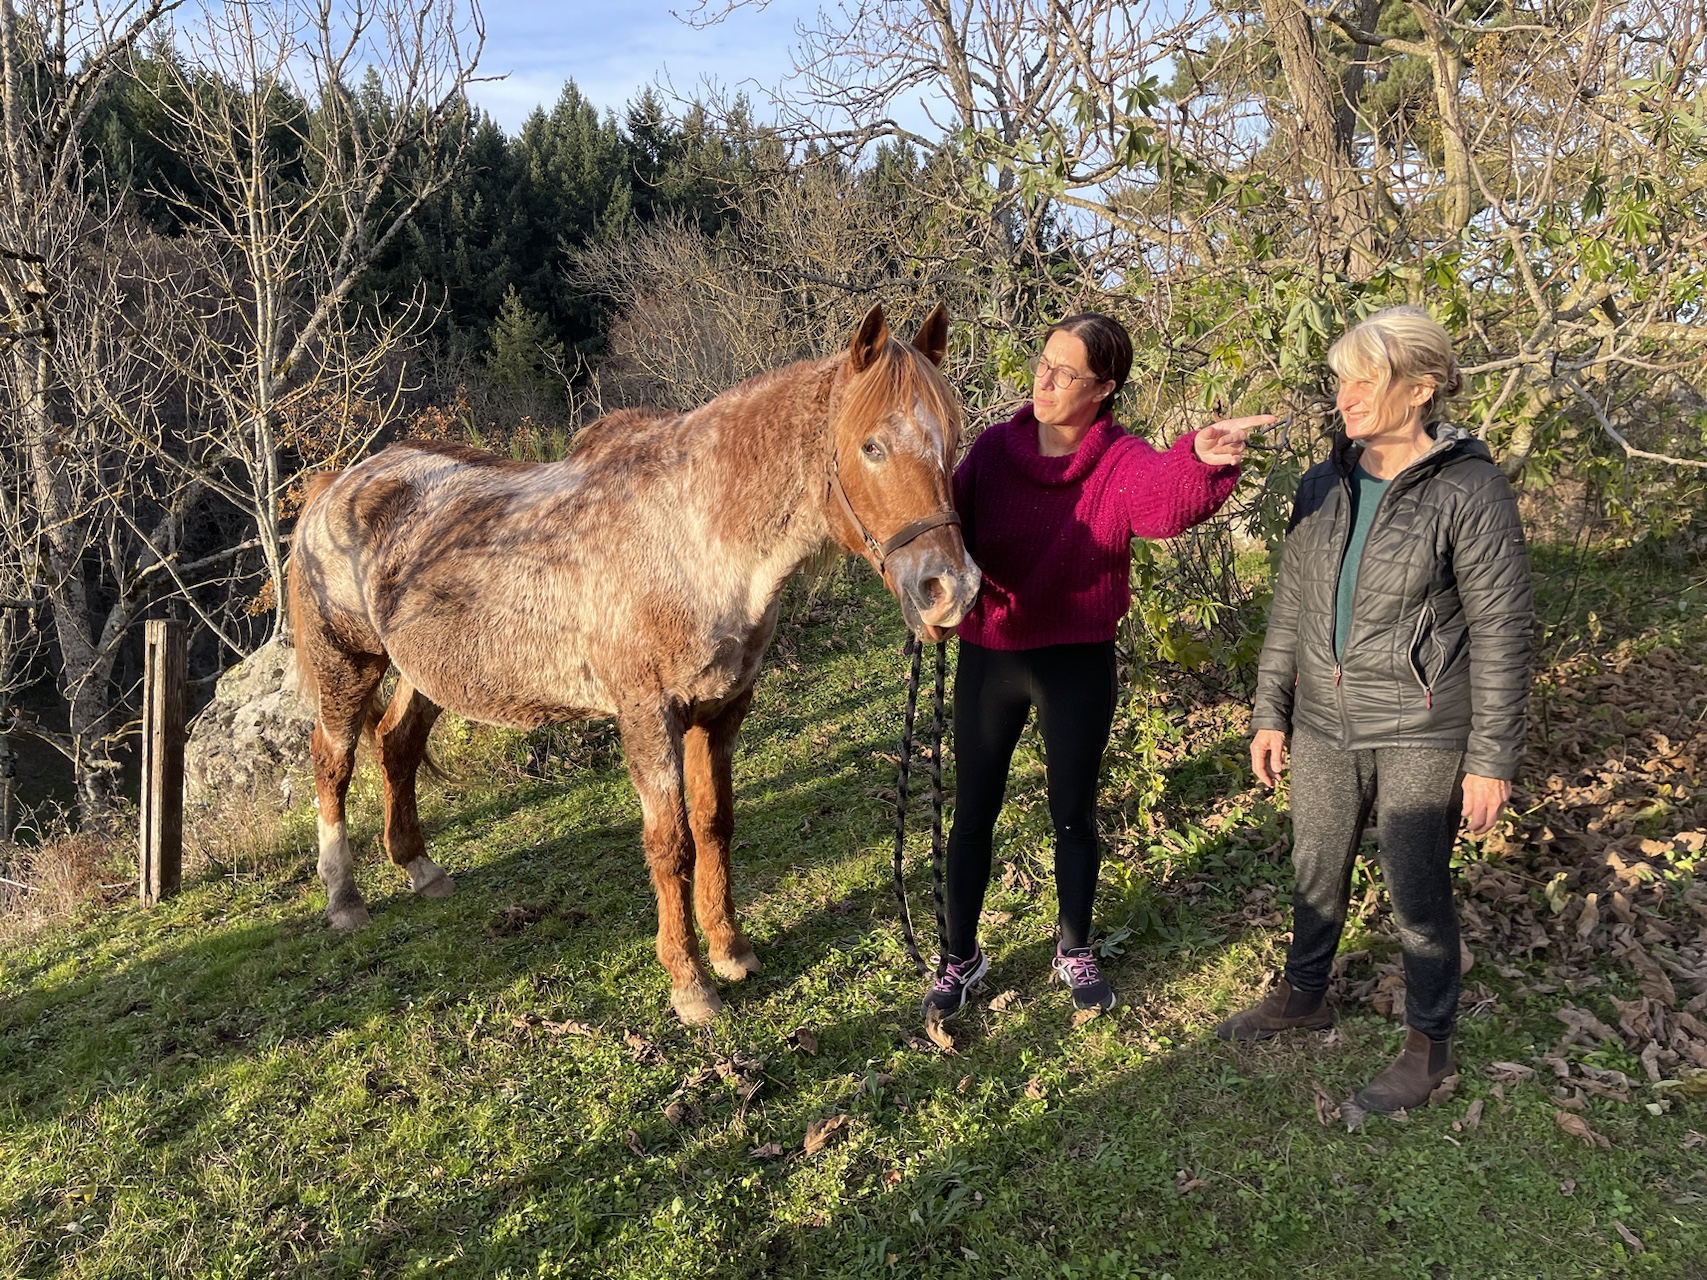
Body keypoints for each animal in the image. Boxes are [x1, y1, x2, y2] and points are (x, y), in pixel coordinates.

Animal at [287, 304, 981, 1024]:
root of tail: (338, 485)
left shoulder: (720, 712)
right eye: (872, 446)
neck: (689, 536)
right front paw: (689, 981)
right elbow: (670, 844)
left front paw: (730, 950)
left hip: (424, 672)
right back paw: (344, 900)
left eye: (954, 438)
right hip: (349, 664)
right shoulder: (649, 717)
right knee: (332, 762)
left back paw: (419, 868)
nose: (949, 588)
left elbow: (714, 826)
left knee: (396, 744)